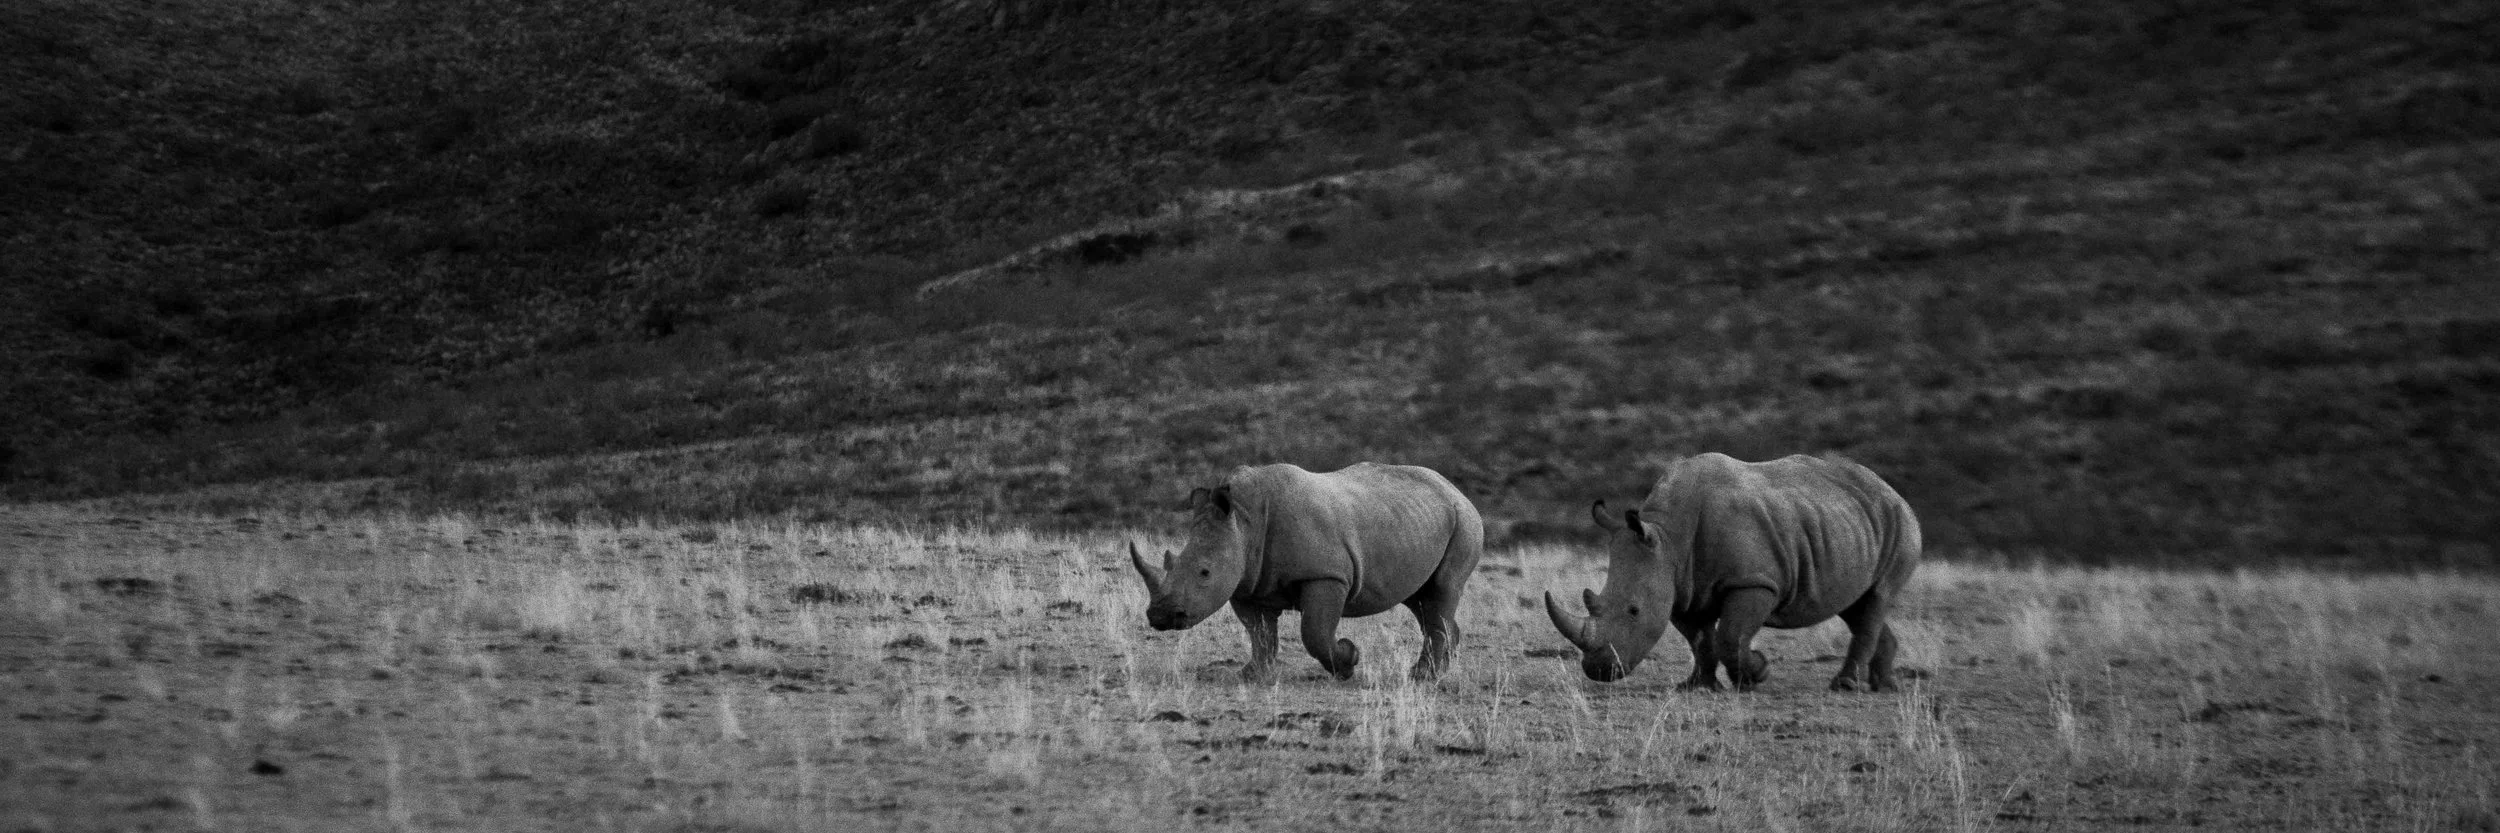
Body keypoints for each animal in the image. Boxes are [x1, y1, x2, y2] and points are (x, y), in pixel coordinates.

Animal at [1130, 462, 1485, 681]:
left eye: (1204, 572)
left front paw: (1348, 661)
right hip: (1421, 522)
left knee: (1442, 590)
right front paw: (1251, 675)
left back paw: (1423, 677)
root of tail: (1454, 488)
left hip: (1464, 520)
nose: (1160, 616)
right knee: (1421, 599)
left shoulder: (1326, 574)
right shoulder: (1246, 581)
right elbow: (1259, 632)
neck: (1244, 521)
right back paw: (1434, 671)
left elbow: (1314, 632)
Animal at [1543, 453, 1922, 692]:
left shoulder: (1752, 582)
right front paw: (1697, 686)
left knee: (1877, 595)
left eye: (1634, 611)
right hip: (1846, 522)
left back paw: (1845, 686)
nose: (1598, 670)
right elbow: (1700, 640)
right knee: (1856, 604)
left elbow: (1731, 635)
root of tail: (1890, 488)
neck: (1667, 537)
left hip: (1898, 520)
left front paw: (1756, 673)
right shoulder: (1680, 588)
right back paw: (1885, 687)